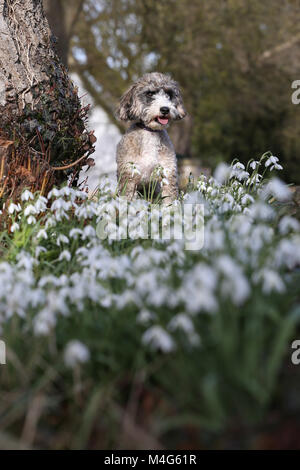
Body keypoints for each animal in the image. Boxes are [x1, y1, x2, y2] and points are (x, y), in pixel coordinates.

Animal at [115, 72, 185, 202]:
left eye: (169, 94)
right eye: (150, 93)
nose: (165, 109)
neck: (150, 132)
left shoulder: (167, 171)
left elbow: (169, 199)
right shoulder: (129, 175)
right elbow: (127, 197)